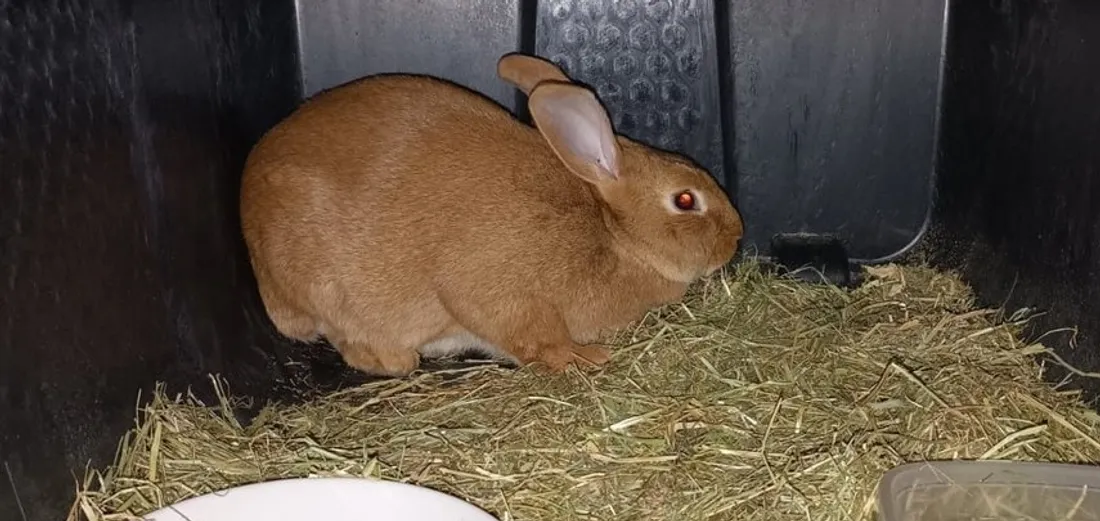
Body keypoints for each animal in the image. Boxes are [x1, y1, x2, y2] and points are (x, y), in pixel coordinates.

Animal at [239, 52, 744, 377]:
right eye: (685, 200)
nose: (737, 235)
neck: (611, 232)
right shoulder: (494, 287)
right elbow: (529, 332)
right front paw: (583, 358)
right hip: (332, 293)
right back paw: (402, 362)